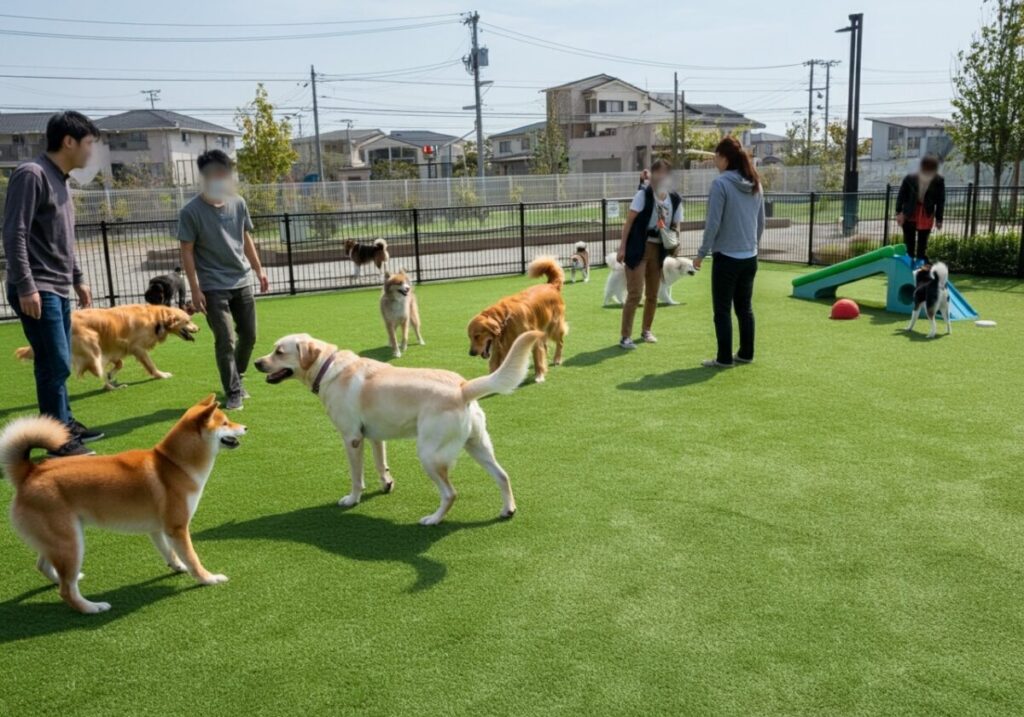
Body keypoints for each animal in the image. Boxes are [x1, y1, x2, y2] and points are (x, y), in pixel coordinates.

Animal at [0, 395, 245, 614]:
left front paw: (178, 567)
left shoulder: (158, 528)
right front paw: (208, 578)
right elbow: (193, 559)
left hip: (59, 539)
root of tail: (30, 473)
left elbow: (170, 553)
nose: (245, 427)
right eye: (225, 423)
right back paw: (92, 607)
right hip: (71, 542)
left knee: (46, 567)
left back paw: (67, 579)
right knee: (66, 591)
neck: (174, 463)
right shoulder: (177, 528)